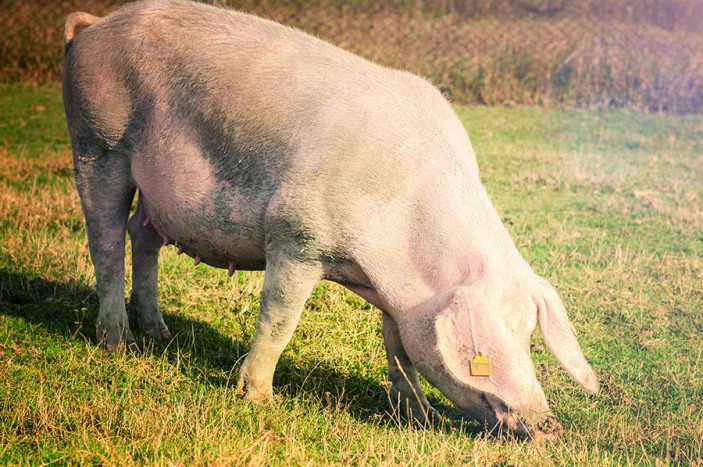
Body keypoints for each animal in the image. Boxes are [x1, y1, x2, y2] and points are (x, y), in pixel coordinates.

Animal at [62, 0, 600, 438]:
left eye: (529, 337)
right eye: (494, 339)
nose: (549, 425)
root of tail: (94, 27)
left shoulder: (398, 297)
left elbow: (399, 346)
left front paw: (419, 417)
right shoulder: (297, 237)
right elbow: (279, 320)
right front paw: (258, 399)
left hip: (150, 193)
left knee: (142, 235)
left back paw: (160, 333)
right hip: (97, 142)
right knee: (105, 239)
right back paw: (120, 345)